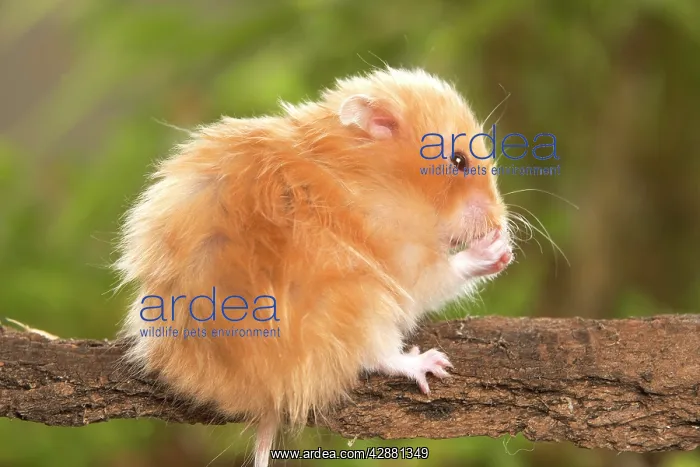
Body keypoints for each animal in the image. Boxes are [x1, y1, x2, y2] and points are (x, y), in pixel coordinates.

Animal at [114, 67, 513, 467]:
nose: (499, 220)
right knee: (378, 356)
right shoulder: (404, 257)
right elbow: (441, 275)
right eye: (458, 161)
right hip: (363, 303)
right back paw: (429, 362)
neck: (376, 178)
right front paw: (499, 248)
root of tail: (267, 395)